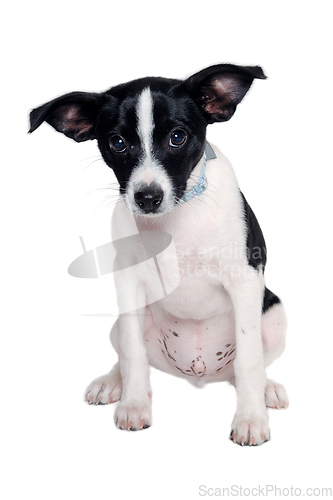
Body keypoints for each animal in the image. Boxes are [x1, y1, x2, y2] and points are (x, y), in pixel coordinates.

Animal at [29, 63, 286, 446]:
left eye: (177, 137)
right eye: (117, 143)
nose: (147, 197)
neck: (176, 220)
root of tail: (200, 372)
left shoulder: (245, 281)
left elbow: (249, 359)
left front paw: (251, 418)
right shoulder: (128, 283)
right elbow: (133, 352)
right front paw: (134, 405)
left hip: (275, 315)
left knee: (248, 364)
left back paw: (266, 389)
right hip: (122, 322)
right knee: (127, 352)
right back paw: (113, 383)